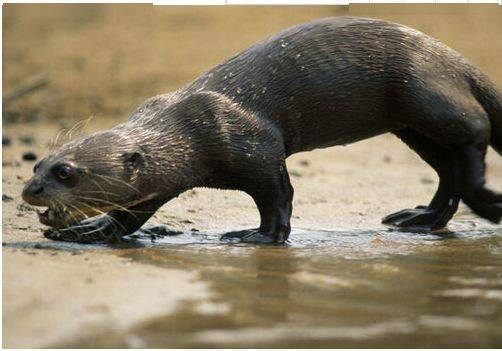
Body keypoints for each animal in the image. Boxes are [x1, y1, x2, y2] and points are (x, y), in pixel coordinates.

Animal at [22, 17, 502, 245]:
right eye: (38, 164)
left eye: (66, 173)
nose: (31, 191)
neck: (189, 133)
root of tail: (456, 58)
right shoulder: (162, 182)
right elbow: (131, 213)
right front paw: (91, 230)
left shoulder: (255, 145)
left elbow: (278, 196)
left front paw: (258, 236)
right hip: (413, 124)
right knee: (447, 171)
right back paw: (420, 217)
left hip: (426, 89)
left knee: (473, 134)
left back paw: (483, 199)